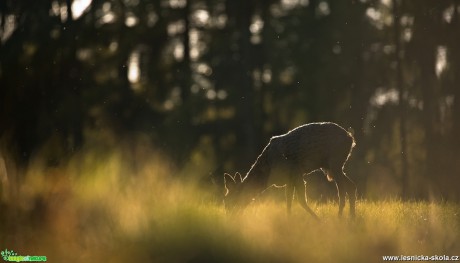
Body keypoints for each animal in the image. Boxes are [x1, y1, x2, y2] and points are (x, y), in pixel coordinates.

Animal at [225, 122, 358, 220]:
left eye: (230, 200)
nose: (229, 216)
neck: (268, 174)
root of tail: (350, 137)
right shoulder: (289, 180)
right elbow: (288, 202)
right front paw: (289, 221)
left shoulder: (296, 173)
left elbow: (301, 201)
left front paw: (318, 220)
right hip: (331, 166)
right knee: (351, 186)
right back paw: (351, 217)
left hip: (335, 162)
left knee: (342, 191)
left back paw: (340, 217)